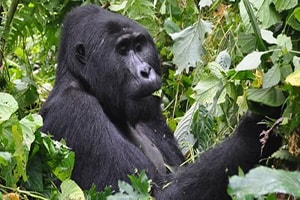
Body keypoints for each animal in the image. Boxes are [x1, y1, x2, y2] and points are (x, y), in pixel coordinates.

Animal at [40, 5, 282, 200]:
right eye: (122, 50)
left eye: (139, 46)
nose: (146, 71)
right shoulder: (75, 109)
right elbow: (151, 194)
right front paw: (253, 132)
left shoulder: (152, 113)